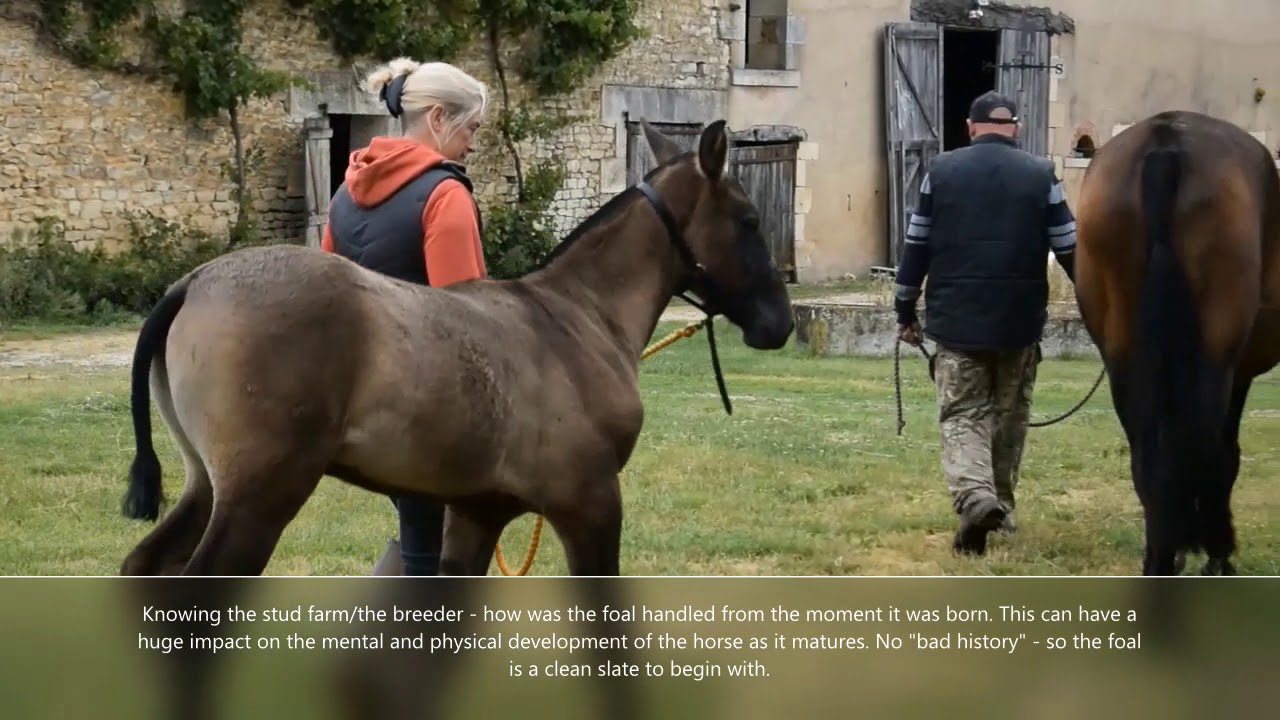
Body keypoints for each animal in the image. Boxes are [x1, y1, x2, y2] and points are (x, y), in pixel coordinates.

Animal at [115, 118, 794, 578]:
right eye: (749, 220)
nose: (779, 323)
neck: (579, 317)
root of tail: (193, 283)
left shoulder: (476, 513)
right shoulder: (591, 503)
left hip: (206, 485)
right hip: (259, 495)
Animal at [1073, 110, 1280, 575]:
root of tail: (1166, 143)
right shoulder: (1236, 373)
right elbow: (1227, 454)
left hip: (1124, 361)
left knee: (1149, 462)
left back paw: (1161, 557)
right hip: (1213, 362)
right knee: (1206, 452)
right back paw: (1208, 555)